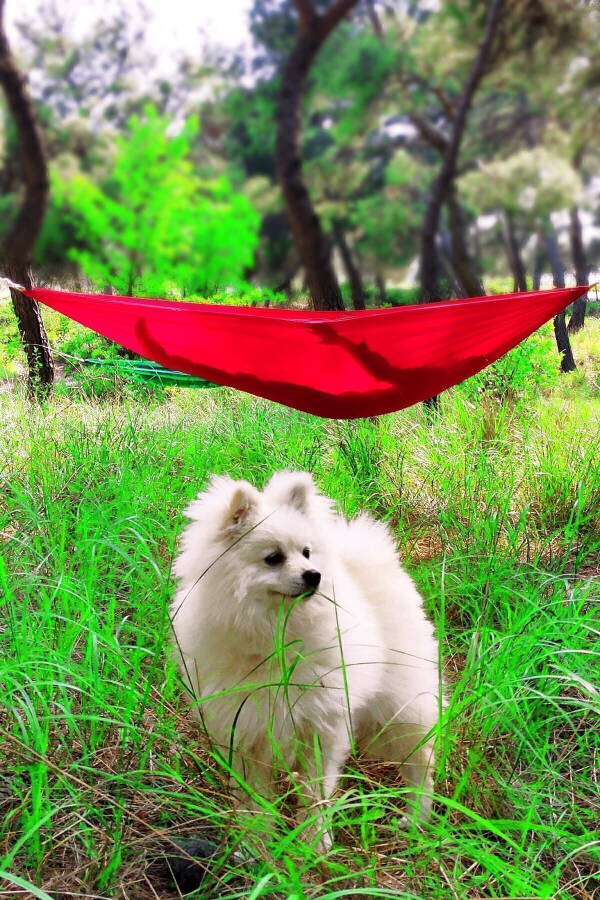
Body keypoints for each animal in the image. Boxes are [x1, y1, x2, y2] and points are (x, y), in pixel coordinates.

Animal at [171, 474, 442, 848]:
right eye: (273, 558)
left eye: (306, 553)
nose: (314, 575)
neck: (275, 635)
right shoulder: (246, 731)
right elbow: (253, 799)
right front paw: (254, 845)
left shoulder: (320, 724)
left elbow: (316, 792)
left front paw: (314, 842)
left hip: (399, 709)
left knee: (421, 768)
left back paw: (416, 819)